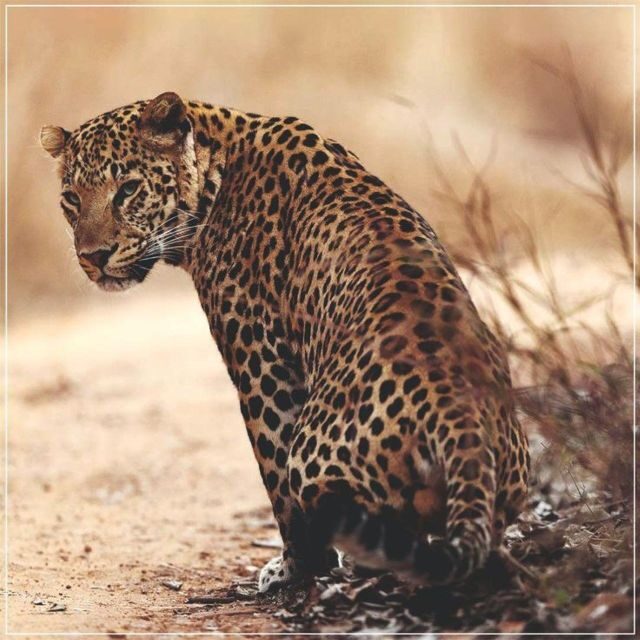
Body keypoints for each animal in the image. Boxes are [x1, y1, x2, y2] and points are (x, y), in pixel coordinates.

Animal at [41, 92, 529, 593]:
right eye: (71, 199)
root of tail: (461, 415)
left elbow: (273, 470)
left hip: (313, 454)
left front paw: (296, 567)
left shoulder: (261, 361)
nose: (93, 257)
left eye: (128, 189)